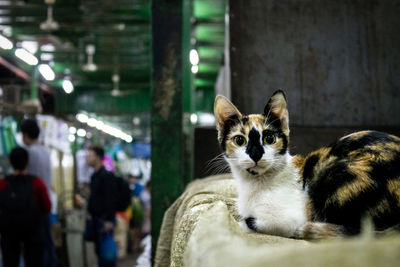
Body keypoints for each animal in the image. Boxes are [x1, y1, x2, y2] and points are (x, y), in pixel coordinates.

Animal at [214, 91, 400, 240]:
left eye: (269, 138)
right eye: (240, 140)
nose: (255, 154)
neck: (254, 184)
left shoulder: (287, 219)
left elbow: (247, 223)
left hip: (334, 172)